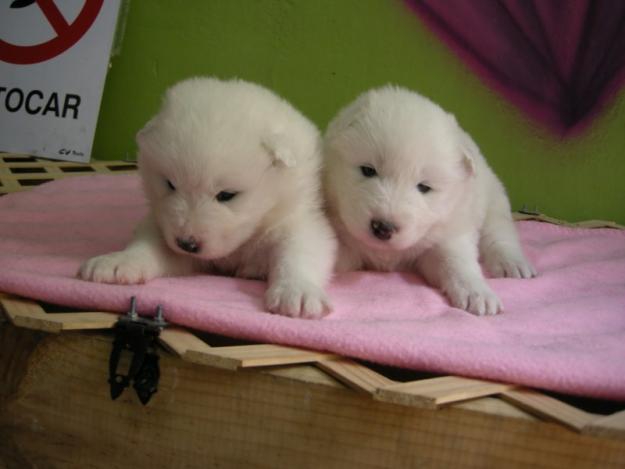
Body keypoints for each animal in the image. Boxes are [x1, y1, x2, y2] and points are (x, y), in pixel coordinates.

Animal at [79, 77, 336, 318]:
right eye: (170, 184)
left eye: (226, 195)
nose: (187, 244)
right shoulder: (161, 224)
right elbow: (150, 245)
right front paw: (118, 262)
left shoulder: (297, 216)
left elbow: (300, 249)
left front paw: (298, 292)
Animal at [324, 86, 532, 316]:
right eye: (368, 170)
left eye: (424, 187)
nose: (383, 228)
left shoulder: (446, 235)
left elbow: (456, 261)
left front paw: (478, 293)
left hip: (493, 201)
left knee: (499, 234)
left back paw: (512, 264)